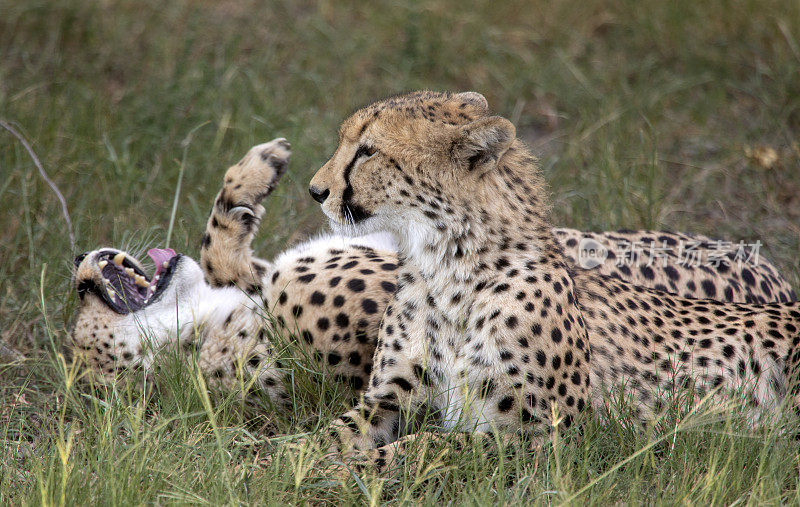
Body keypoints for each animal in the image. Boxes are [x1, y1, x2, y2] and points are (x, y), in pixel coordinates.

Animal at [306, 91, 800, 464]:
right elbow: (327, 434)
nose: (315, 191)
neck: (447, 266)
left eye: (368, 151)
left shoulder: (554, 435)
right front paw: (294, 463)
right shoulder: (389, 396)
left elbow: (428, 446)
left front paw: (346, 469)